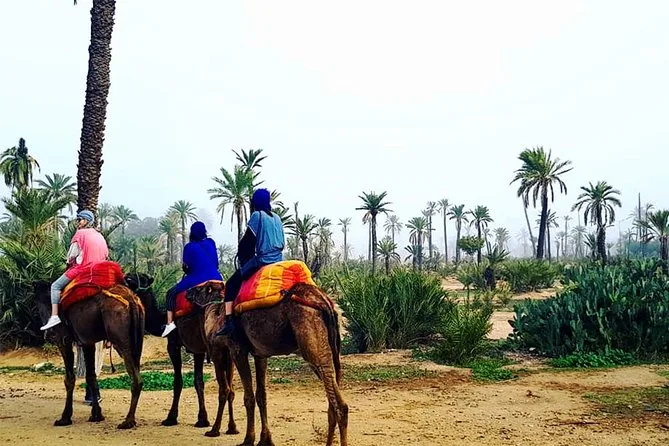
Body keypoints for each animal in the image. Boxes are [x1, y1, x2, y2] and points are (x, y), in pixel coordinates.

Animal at [34, 280, 144, 429]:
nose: (48, 334)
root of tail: (131, 299)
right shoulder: (87, 342)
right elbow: (91, 376)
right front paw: (96, 415)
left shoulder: (63, 340)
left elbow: (69, 379)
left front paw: (65, 418)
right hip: (137, 341)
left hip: (121, 341)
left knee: (135, 378)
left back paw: (128, 421)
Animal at [125, 273, 238, 438]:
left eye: (142, 278)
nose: (127, 276)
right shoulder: (198, 349)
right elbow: (198, 382)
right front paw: (202, 419)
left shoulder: (173, 345)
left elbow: (178, 382)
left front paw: (171, 418)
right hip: (229, 352)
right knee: (230, 388)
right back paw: (232, 428)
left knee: (225, 388)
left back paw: (216, 430)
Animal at [221, 282, 348, 446]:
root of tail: (325, 302)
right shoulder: (260, 354)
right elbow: (261, 395)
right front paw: (265, 439)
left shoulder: (237, 349)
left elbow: (248, 397)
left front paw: (248, 439)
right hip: (332, 349)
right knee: (333, 400)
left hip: (311, 340)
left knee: (339, 405)